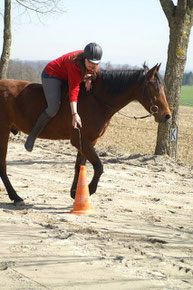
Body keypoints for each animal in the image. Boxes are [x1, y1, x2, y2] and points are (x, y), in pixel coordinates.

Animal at [0, 63, 171, 205]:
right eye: (154, 88)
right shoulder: (80, 140)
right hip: (3, 131)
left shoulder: (89, 140)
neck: (96, 100)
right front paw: (90, 189)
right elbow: (98, 166)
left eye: (164, 88)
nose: (167, 116)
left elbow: (79, 165)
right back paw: (16, 196)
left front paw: (75, 193)